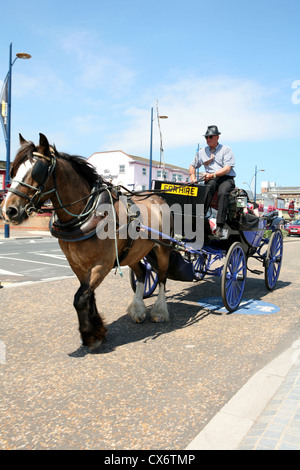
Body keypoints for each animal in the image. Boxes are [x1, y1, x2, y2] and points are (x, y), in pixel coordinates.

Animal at [0, 132, 173, 348]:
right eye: (13, 171)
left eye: (37, 171)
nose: (9, 210)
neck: (87, 213)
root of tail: (158, 198)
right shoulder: (76, 264)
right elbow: (87, 295)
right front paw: (96, 330)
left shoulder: (102, 263)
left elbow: (80, 298)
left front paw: (91, 335)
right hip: (133, 252)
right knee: (142, 273)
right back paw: (137, 309)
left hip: (163, 248)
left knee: (163, 277)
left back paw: (160, 311)